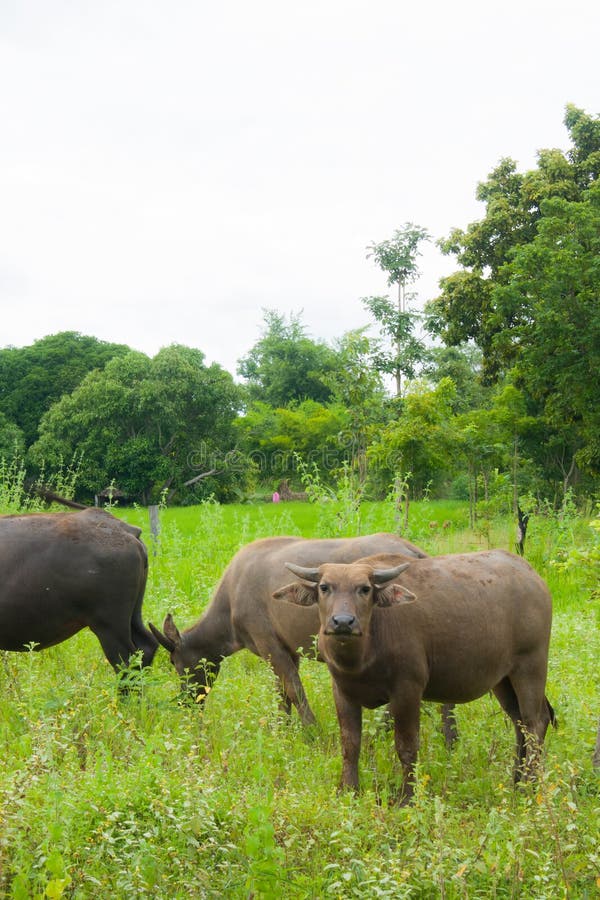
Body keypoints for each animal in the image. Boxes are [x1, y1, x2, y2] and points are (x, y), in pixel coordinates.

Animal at [275, 550, 555, 802]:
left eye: (364, 589)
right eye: (324, 587)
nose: (343, 622)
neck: (365, 653)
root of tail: (533, 577)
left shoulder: (407, 691)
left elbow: (407, 746)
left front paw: (406, 797)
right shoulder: (343, 692)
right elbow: (350, 744)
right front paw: (349, 790)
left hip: (530, 667)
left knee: (535, 722)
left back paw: (530, 786)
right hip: (502, 679)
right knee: (520, 723)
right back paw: (516, 782)